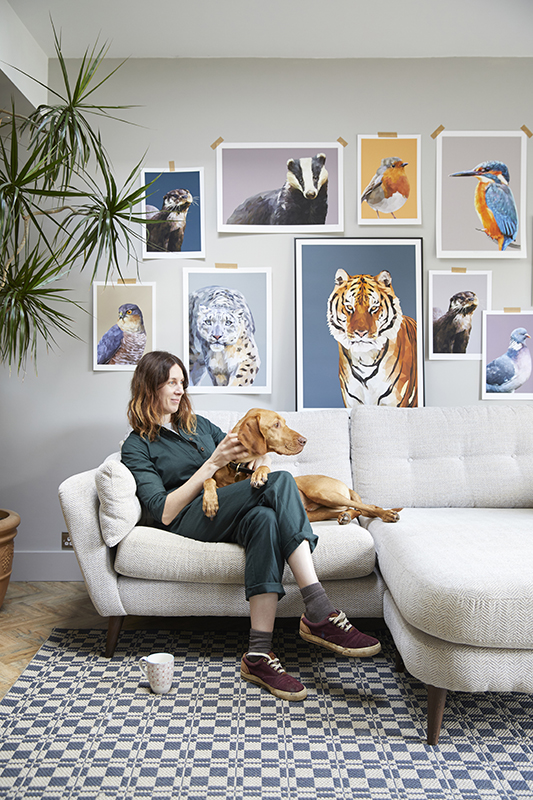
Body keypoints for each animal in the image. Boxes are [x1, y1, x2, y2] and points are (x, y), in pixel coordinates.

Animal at [204, 406, 400, 524]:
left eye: (284, 422)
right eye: (276, 424)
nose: (305, 440)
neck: (236, 468)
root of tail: (346, 486)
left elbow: (263, 467)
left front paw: (259, 473)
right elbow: (208, 480)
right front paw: (210, 502)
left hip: (323, 493)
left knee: (369, 507)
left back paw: (386, 514)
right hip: (317, 512)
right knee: (354, 510)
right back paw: (346, 516)